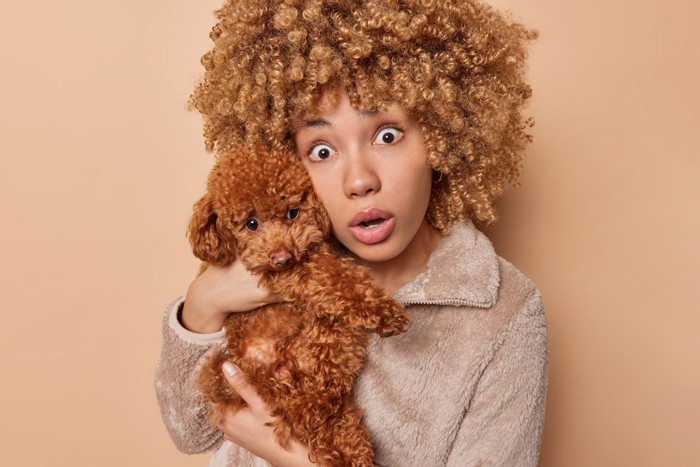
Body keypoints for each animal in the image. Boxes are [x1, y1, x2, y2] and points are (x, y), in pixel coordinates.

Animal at [189, 147, 408, 467]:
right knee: (301, 414)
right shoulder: (285, 275)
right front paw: (382, 311)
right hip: (232, 373)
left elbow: (338, 281)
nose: (283, 258)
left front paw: (381, 313)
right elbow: (333, 277)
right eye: (251, 224)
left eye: (292, 213)